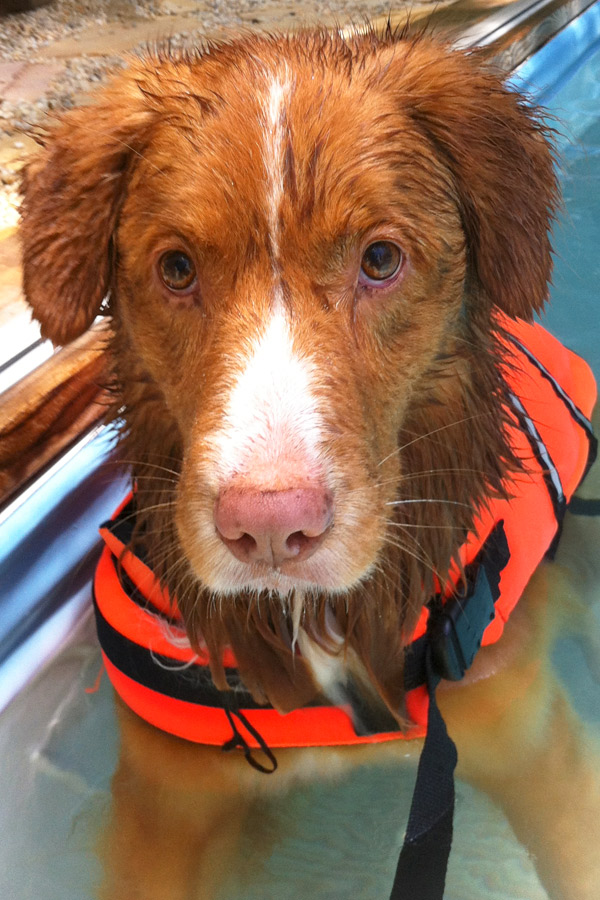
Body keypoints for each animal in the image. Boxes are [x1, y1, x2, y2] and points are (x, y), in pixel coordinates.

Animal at [18, 24, 600, 900]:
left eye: (381, 259)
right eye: (177, 268)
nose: (267, 528)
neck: (316, 625)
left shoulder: (534, 746)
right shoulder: (160, 810)